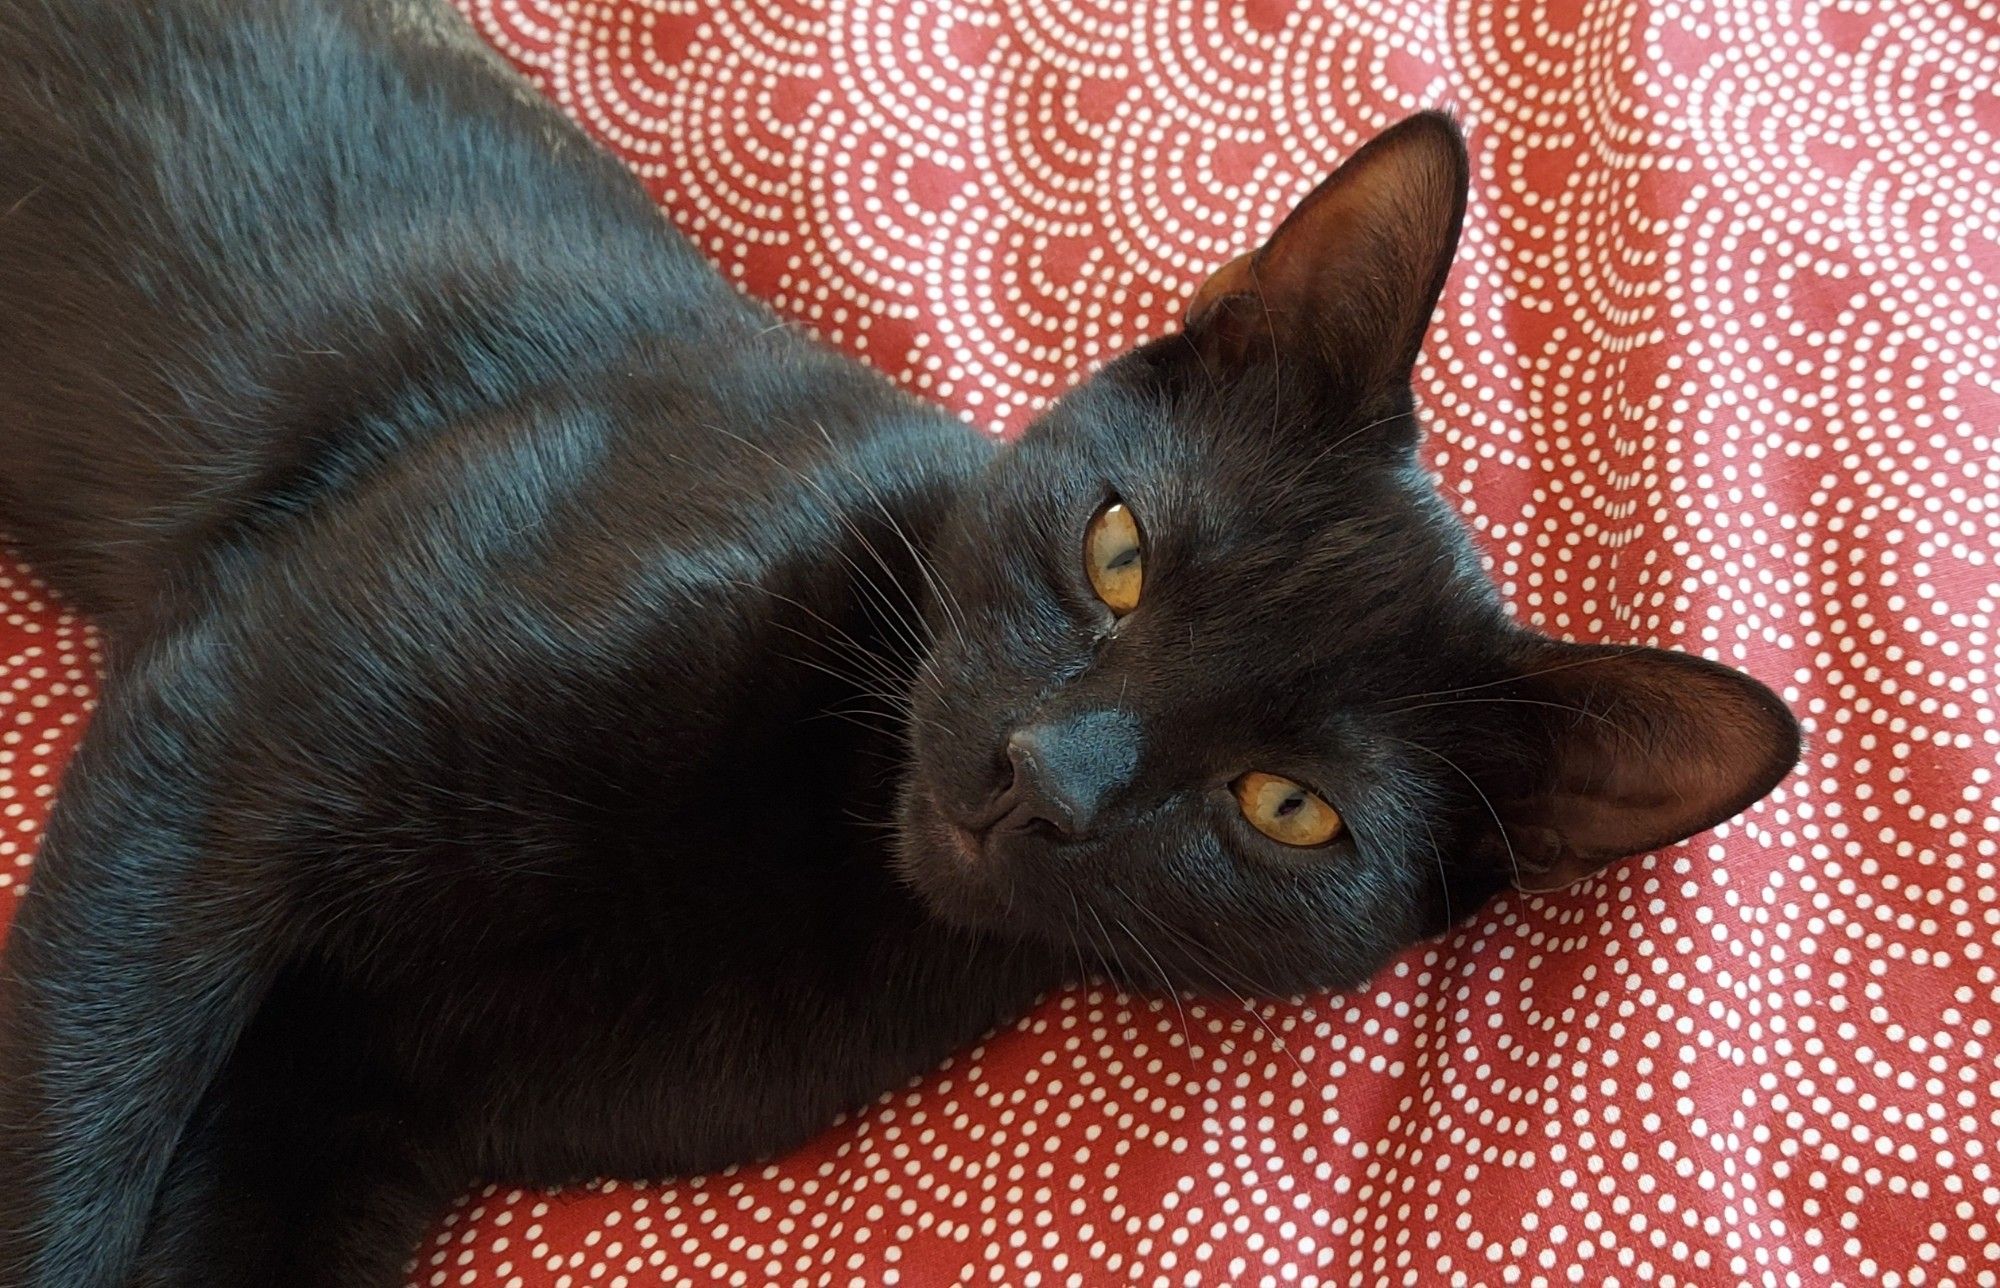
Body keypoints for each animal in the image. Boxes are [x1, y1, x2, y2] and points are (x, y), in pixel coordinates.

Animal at [0, 2, 1800, 1288]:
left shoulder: (350, 1101)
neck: (798, 846)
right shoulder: (227, 727)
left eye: (1287, 809)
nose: (1039, 775)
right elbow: (70, 1139)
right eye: (1120, 554)